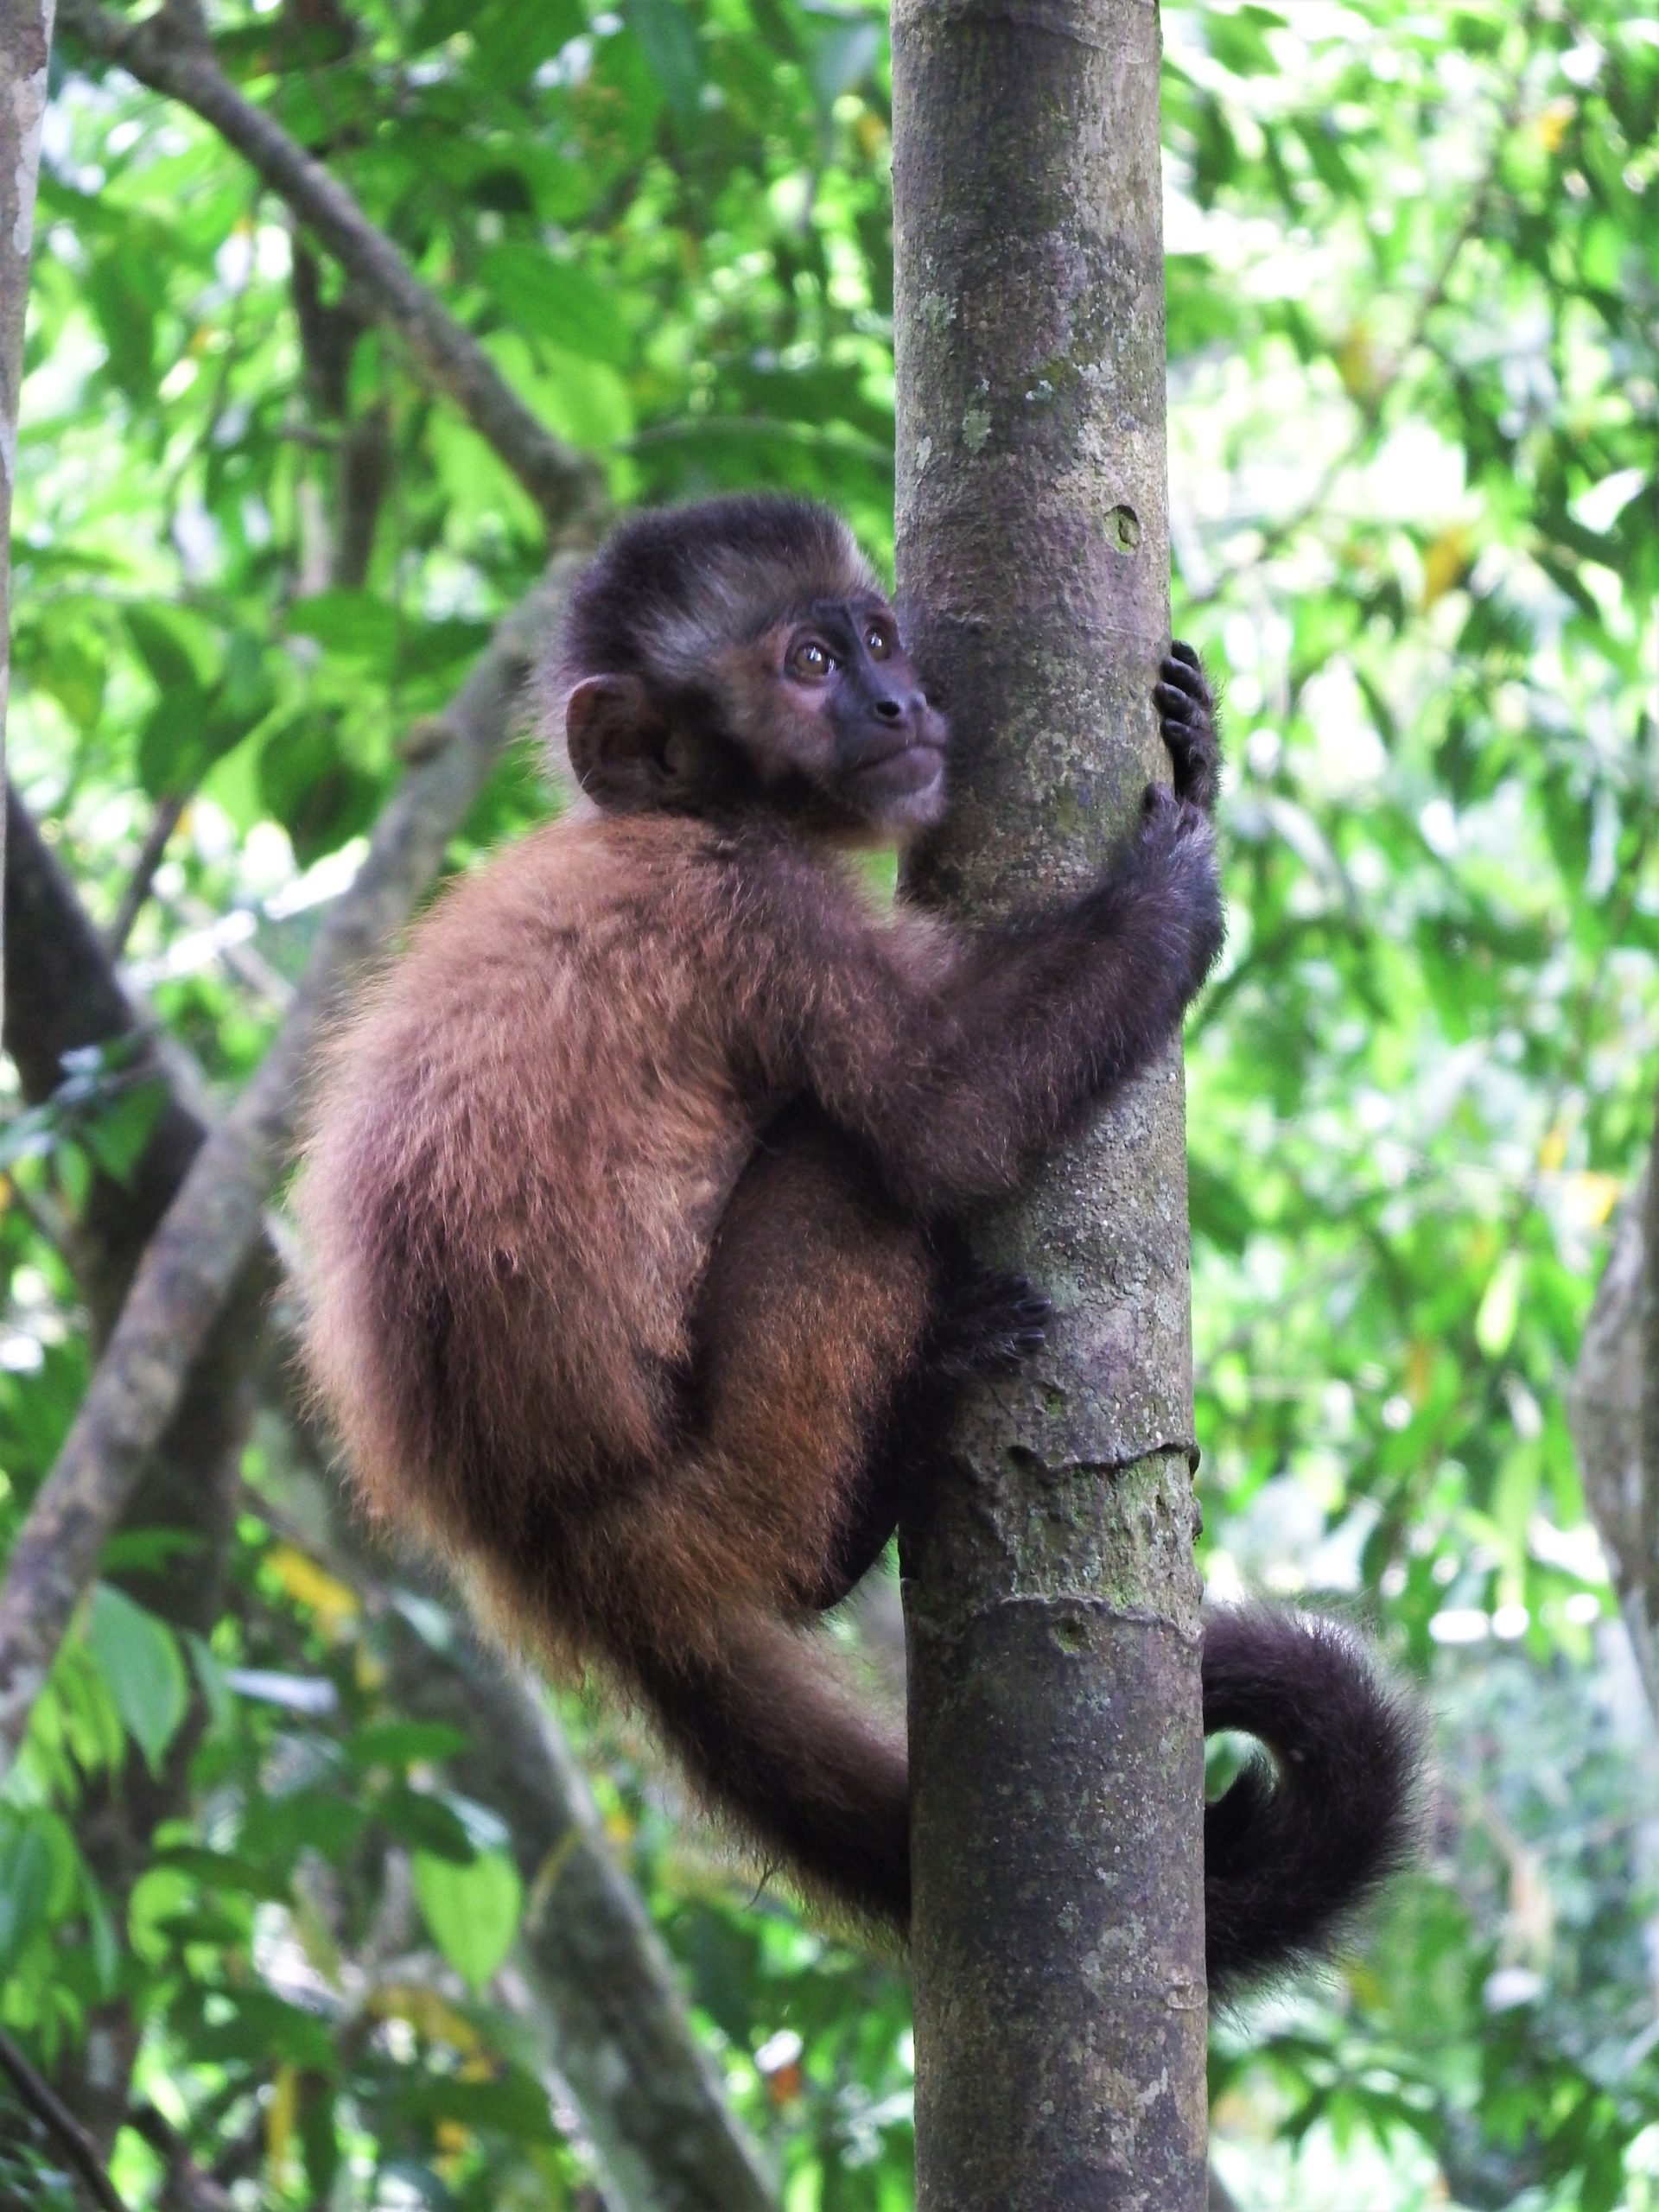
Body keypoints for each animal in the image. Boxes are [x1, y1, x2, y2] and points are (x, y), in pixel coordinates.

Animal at [293, 493, 1418, 1997]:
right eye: (810, 666)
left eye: (879, 640)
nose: (897, 701)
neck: (691, 813)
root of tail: (558, 1563)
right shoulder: (757, 902)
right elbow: (943, 1120)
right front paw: (1181, 874)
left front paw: (1197, 741)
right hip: (726, 1485)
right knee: (848, 1173)